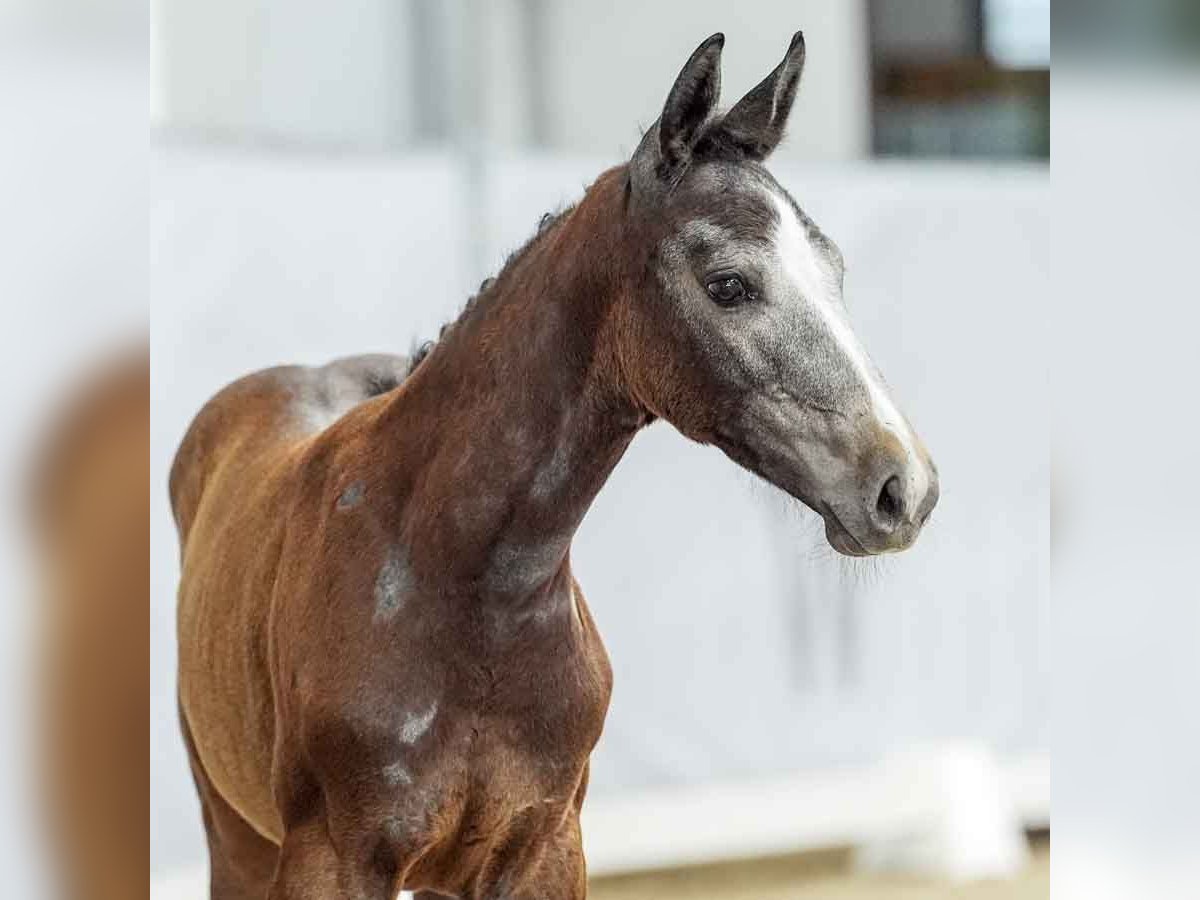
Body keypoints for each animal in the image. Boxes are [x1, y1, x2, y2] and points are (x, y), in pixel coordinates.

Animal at [171, 31, 936, 897]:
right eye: (729, 283)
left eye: (834, 270)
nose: (903, 488)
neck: (463, 592)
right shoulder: (330, 861)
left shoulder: (543, 849)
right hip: (236, 839)